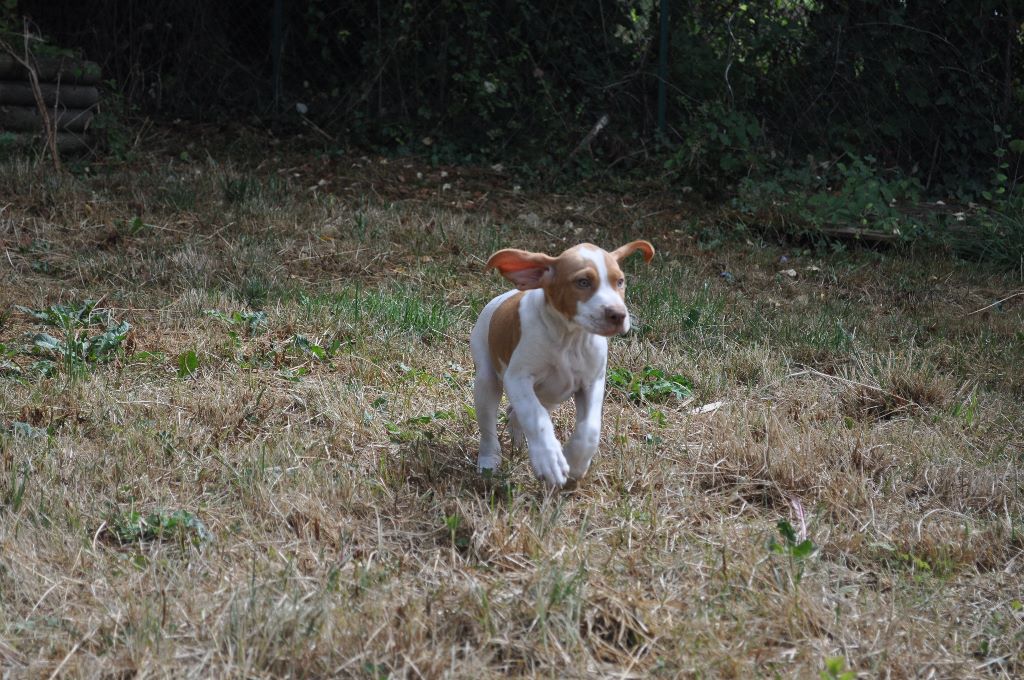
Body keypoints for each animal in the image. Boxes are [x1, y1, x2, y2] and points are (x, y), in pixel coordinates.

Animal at [471, 241, 655, 485]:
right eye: (583, 282)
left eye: (620, 282)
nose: (618, 315)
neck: (569, 339)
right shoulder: (518, 378)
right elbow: (535, 416)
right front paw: (550, 459)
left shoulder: (592, 383)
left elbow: (590, 429)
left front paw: (575, 462)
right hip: (486, 380)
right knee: (489, 427)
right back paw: (489, 461)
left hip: (550, 397)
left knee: (516, 414)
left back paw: (519, 443)